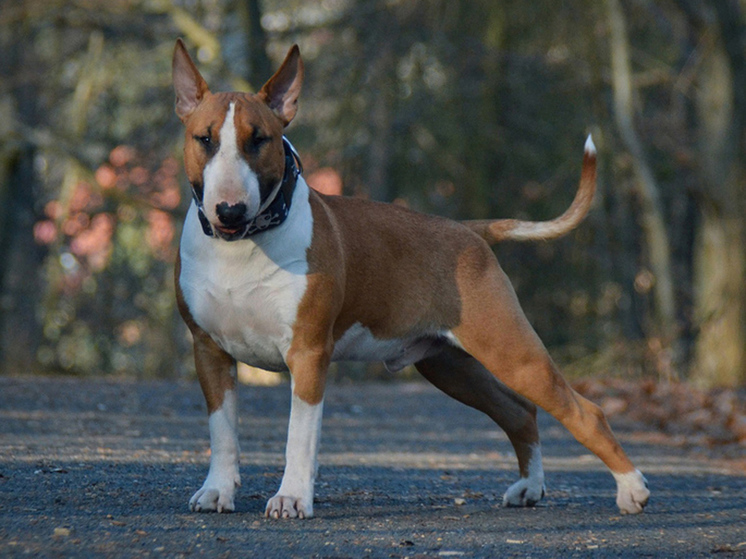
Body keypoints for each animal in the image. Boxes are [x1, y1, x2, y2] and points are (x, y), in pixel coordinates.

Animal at [171, 39, 648, 520]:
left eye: (259, 140)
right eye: (205, 139)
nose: (229, 210)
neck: (244, 245)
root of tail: (471, 231)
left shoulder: (307, 353)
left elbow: (299, 437)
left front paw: (290, 498)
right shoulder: (208, 350)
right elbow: (222, 431)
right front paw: (216, 491)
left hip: (510, 351)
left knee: (583, 412)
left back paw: (632, 489)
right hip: (450, 364)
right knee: (520, 412)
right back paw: (530, 487)